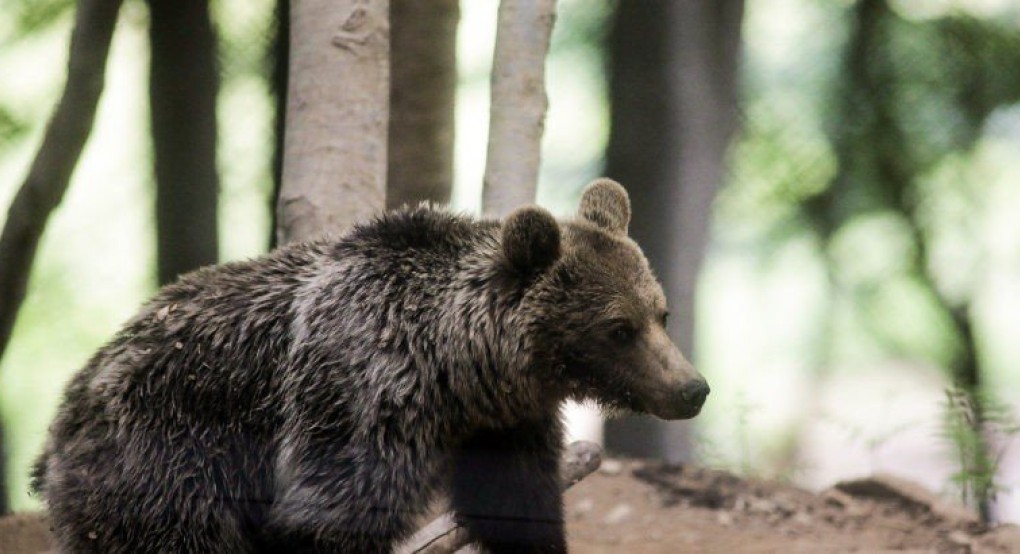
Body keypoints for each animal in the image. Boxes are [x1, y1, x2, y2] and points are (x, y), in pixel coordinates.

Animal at [35, 179, 709, 550]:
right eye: (618, 329)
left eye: (662, 313)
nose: (692, 388)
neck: (460, 371)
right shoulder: (363, 397)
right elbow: (330, 518)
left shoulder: (505, 426)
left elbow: (518, 513)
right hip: (171, 457)